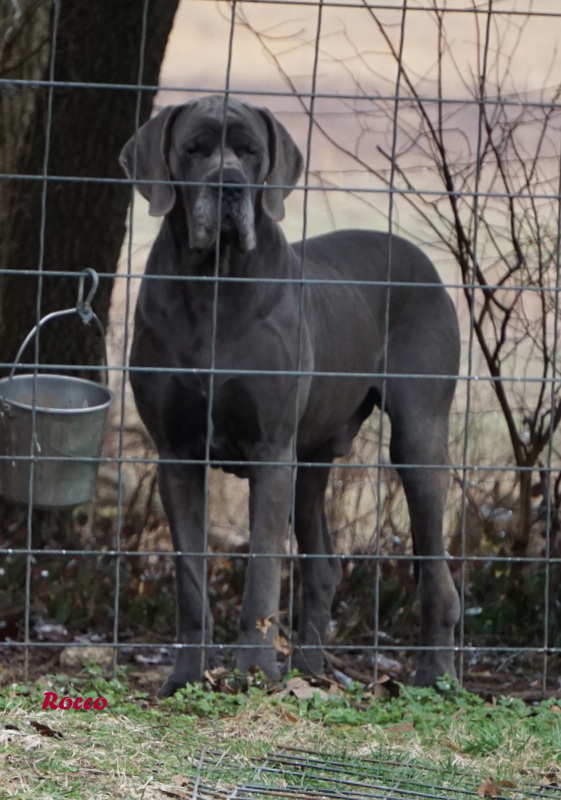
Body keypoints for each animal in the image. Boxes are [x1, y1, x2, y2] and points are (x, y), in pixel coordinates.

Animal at [119, 94, 460, 696]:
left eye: (251, 151)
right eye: (194, 149)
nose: (229, 186)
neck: (214, 284)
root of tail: (421, 260)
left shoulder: (271, 453)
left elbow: (261, 568)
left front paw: (254, 668)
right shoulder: (177, 457)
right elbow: (190, 577)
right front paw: (185, 676)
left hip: (417, 442)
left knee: (437, 574)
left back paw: (435, 676)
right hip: (315, 455)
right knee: (323, 565)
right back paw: (309, 670)